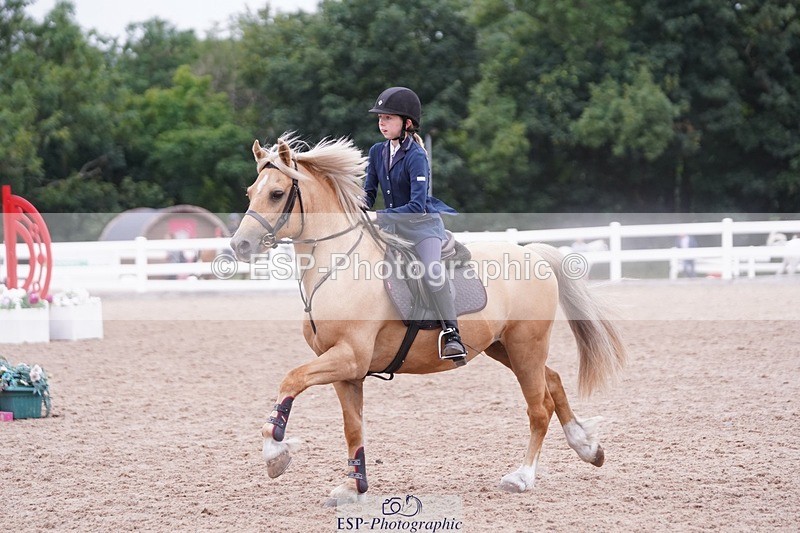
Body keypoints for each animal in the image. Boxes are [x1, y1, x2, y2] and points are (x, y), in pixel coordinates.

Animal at [230, 134, 627, 505]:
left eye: (277, 193)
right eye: (251, 192)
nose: (240, 245)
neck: (338, 264)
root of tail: (534, 254)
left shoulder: (349, 356)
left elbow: (291, 380)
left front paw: (275, 452)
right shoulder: (346, 371)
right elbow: (352, 428)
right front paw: (353, 487)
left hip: (525, 345)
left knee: (539, 408)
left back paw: (522, 477)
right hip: (503, 347)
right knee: (554, 382)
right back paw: (588, 447)